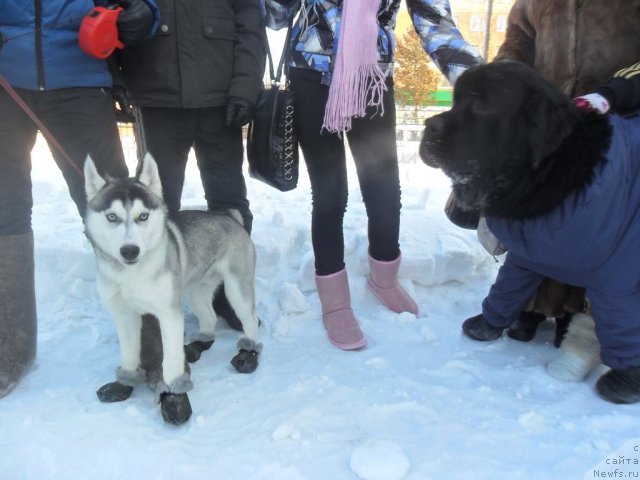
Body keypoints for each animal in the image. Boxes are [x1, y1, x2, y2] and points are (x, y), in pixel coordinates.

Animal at [420, 61, 640, 404]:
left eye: (482, 105)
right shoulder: (527, 253)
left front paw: (627, 380)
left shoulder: (619, 266)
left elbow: (620, 317)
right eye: (455, 100)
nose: (429, 126)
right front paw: (487, 324)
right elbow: (507, 287)